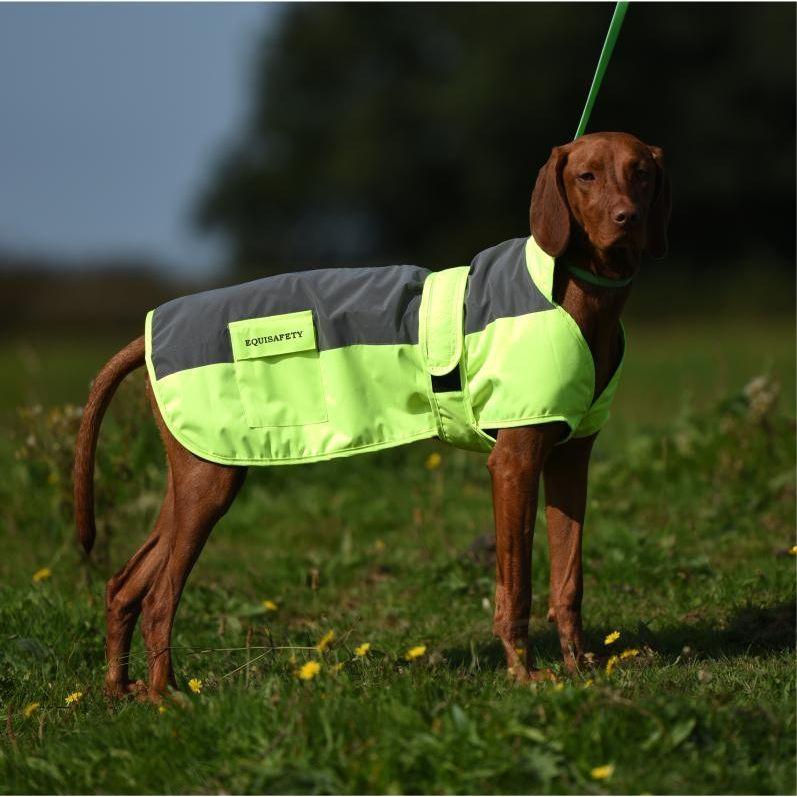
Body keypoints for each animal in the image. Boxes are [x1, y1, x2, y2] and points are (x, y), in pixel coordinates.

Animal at [73, 132, 672, 696]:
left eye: (640, 173)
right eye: (586, 175)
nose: (627, 219)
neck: (575, 294)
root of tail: (148, 333)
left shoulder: (570, 461)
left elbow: (568, 581)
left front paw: (580, 667)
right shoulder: (514, 463)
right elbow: (517, 587)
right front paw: (524, 677)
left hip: (197, 477)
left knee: (124, 585)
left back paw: (122, 691)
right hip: (211, 480)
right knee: (159, 598)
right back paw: (168, 699)